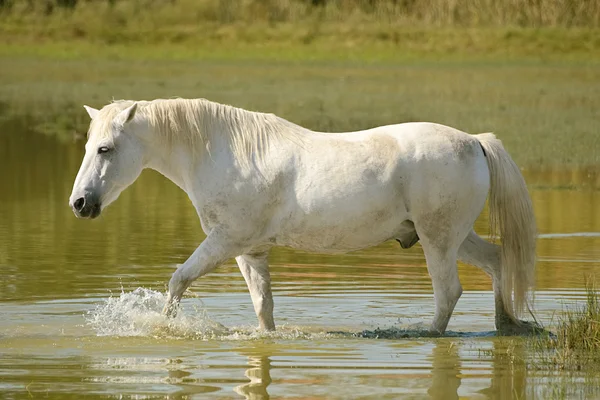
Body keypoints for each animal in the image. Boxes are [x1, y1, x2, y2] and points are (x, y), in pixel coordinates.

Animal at [68, 98, 536, 336]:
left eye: (105, 148)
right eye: (89, 145)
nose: (80, 203)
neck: (224, 152)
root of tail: (474, 141)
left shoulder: (226, 241)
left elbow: (177, 280)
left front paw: (164, 331)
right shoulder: (251, 252)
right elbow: (263, 309)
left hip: (438, 241)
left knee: (448, 294)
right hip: (454, 237)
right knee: (497, 262)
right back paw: (506, 325)